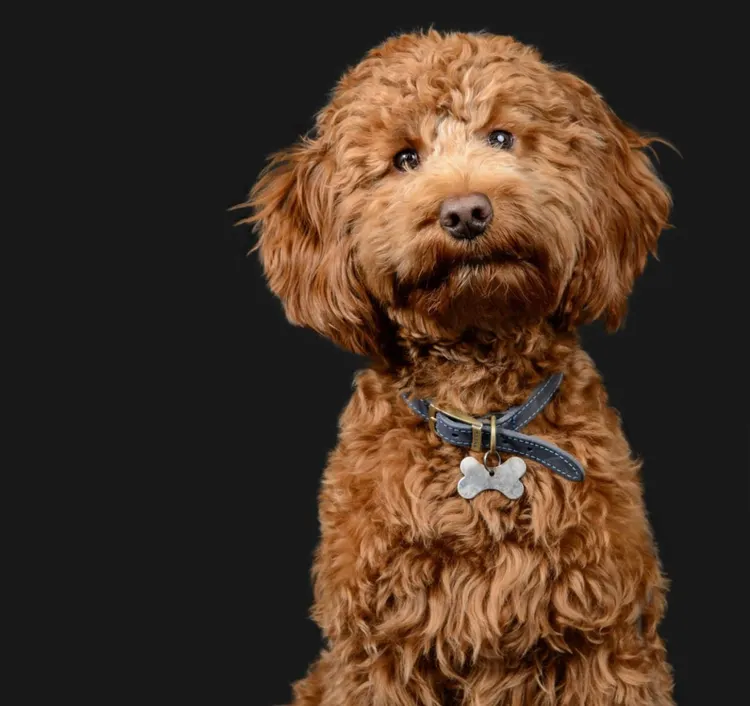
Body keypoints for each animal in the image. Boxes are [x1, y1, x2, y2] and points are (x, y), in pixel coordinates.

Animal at [242, 28, 676, 704]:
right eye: (404, 159)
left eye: (501, 137)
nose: (466, 210)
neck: (482, 415)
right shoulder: (379, 651)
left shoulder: (606, 644)